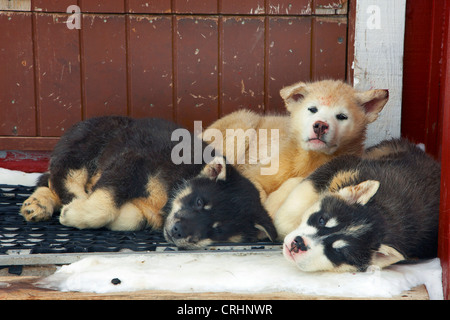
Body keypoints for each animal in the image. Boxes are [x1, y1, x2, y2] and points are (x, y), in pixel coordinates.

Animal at [21, 116, 276, 249]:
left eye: (219, 229)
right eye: (199, 202)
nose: (178, 232)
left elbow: (131, 217)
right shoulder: (133, 160)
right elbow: (104, 202)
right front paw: (76, 213)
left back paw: (38, 204)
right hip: (85, 148)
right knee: (60, 177)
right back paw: (60, 200)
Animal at [206, 79, 388, 208]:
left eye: (342, 116)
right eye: (312, 109)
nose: (320, 126)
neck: (310, 158)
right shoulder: (256, 174)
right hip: (243, 124)